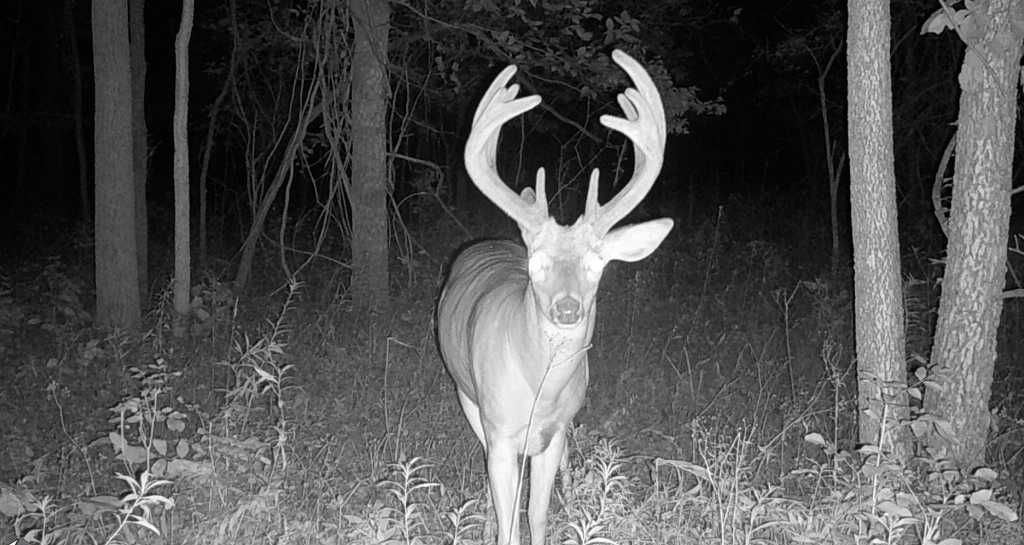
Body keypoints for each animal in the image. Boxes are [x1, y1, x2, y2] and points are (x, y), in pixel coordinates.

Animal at [436, 49, 673, 545]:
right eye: (537, 261)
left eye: (597, 263)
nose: (567, 307)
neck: (538, 392)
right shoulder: (500, 432)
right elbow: (509, 519)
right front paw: (497, 523)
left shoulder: (555, 431)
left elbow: (538, 514)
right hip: (467, 395)